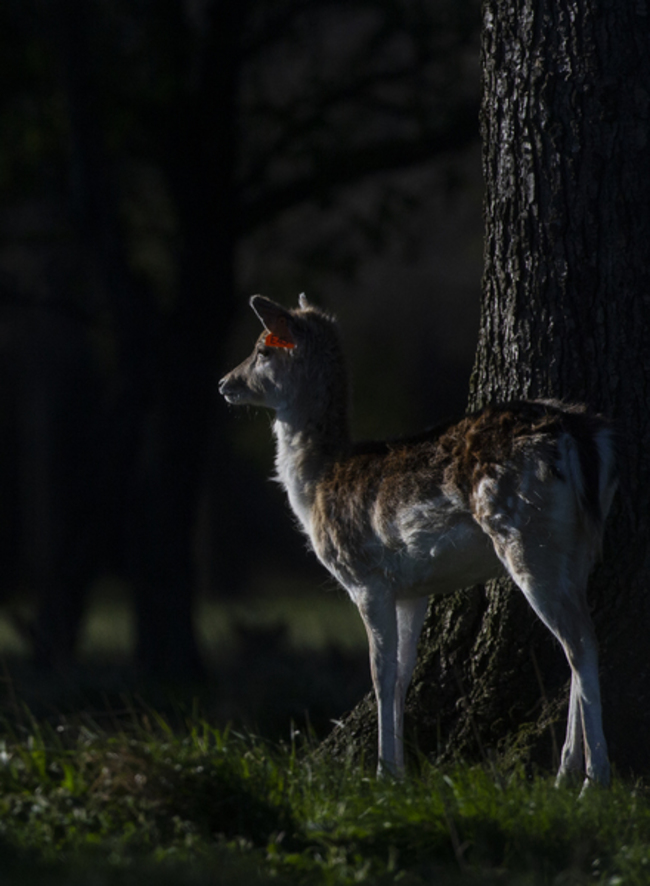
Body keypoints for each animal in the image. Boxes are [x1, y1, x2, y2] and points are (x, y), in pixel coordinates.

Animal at [218, 294, 617, 791]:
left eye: (262, 350)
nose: (224, 383)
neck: (317, 487)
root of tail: (580, 436)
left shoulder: (365, 576)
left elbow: (379, 673)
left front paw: (383, 772)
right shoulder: (412, 589)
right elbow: (403, 674)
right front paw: (400, 771)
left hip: (528, 535)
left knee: (580, 643)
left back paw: (592, 781)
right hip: (578, 546)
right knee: (578, 641)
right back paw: (564, 774)